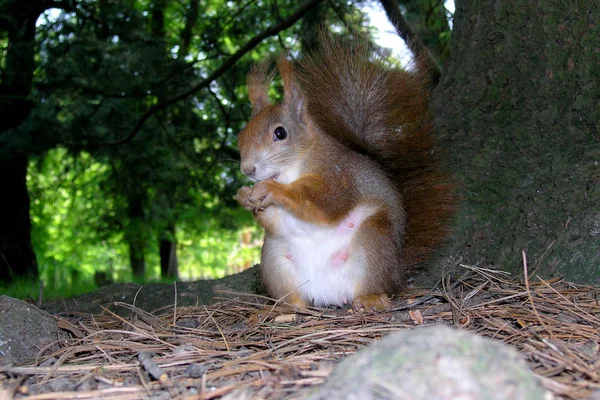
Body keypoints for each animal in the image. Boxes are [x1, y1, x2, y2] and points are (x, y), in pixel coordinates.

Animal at [234, 35, 454, 312]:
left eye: (280, 133)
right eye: (241, 134)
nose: (247, 169)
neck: (292, 168)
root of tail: (327, 294)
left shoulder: (339, 174)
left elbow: (324, 203)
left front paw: (271, 190)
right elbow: (276, 220)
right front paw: (244, 196)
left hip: (372, 243)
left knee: (374, 282)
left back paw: (370, 298)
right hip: (276, 258)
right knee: (292, 296)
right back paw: (286, 309)